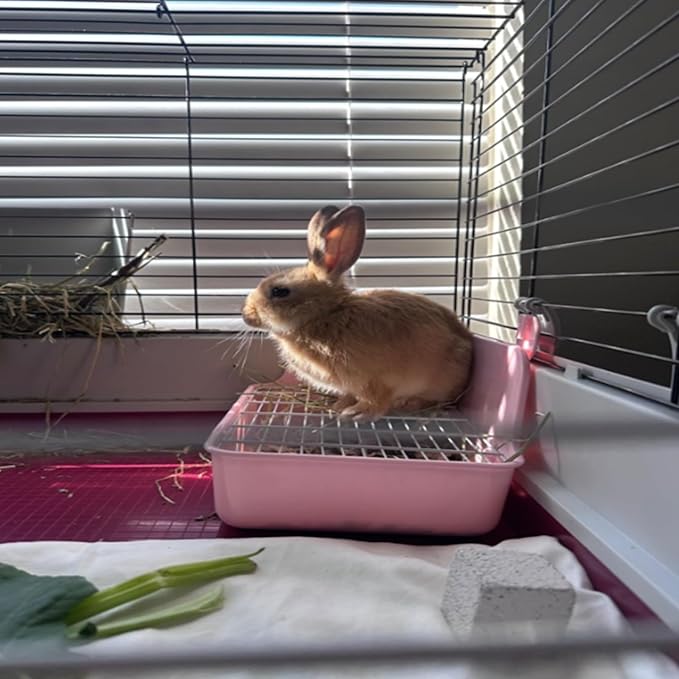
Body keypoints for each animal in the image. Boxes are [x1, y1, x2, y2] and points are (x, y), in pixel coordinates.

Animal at [241, 204, 473, 420]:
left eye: (279, 291)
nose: (245, 314)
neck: (326, 315)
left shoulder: (375, 380)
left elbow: (375, 401)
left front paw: (356, 414)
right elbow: (350, 395)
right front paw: (340, 406)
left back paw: (409, 404)